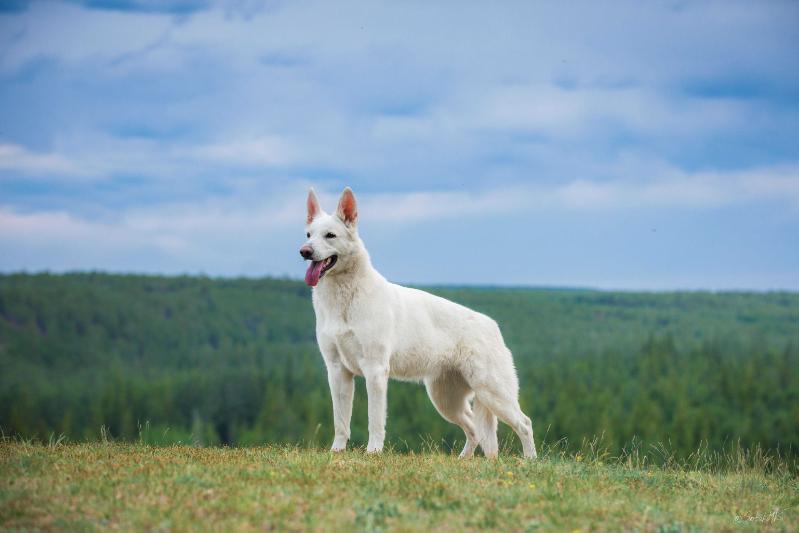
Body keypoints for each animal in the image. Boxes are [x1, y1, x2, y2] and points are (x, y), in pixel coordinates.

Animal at [300, 187, 536, 458]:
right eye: (309, 235)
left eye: (330, 235)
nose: (304, 251)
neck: (343, 300)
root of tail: (493, 326)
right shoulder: (337, 371)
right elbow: (340, 421)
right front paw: (337, 452)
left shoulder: (375, 371)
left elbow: (375, 420)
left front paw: (373, 453)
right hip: (446, 399)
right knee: (475, 429)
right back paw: (465, 461)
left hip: (491, 392)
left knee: (524, 423)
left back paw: (529, 460)